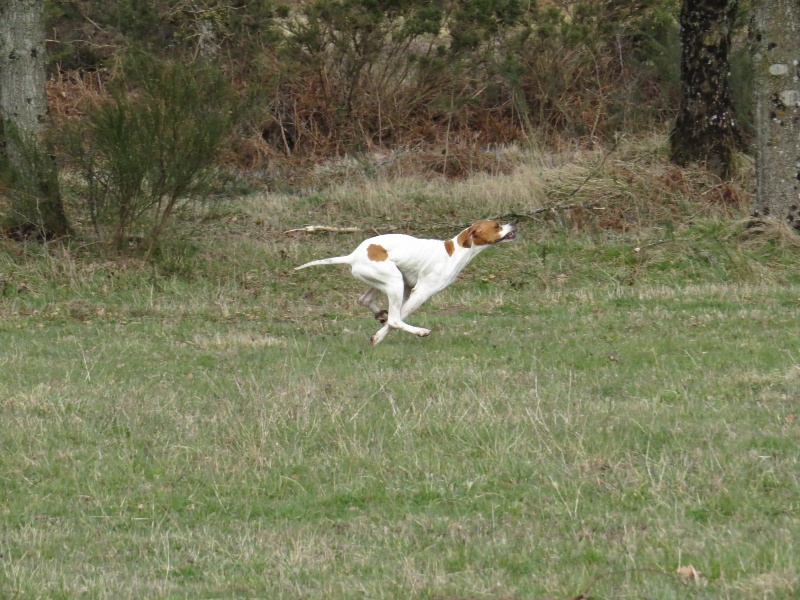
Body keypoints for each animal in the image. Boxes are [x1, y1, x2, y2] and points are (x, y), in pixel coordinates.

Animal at [296, 219, 516, 342]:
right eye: (497, 225)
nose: (514, 223)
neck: (455, 251)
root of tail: (353, 256)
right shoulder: (421, 293)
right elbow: (397, 320)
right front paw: (378, 338)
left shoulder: (409, 289)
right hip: (394, 282)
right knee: (394, 318)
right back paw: (419, 331)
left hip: (391, 281)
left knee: (365, 300)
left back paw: (380, 314)